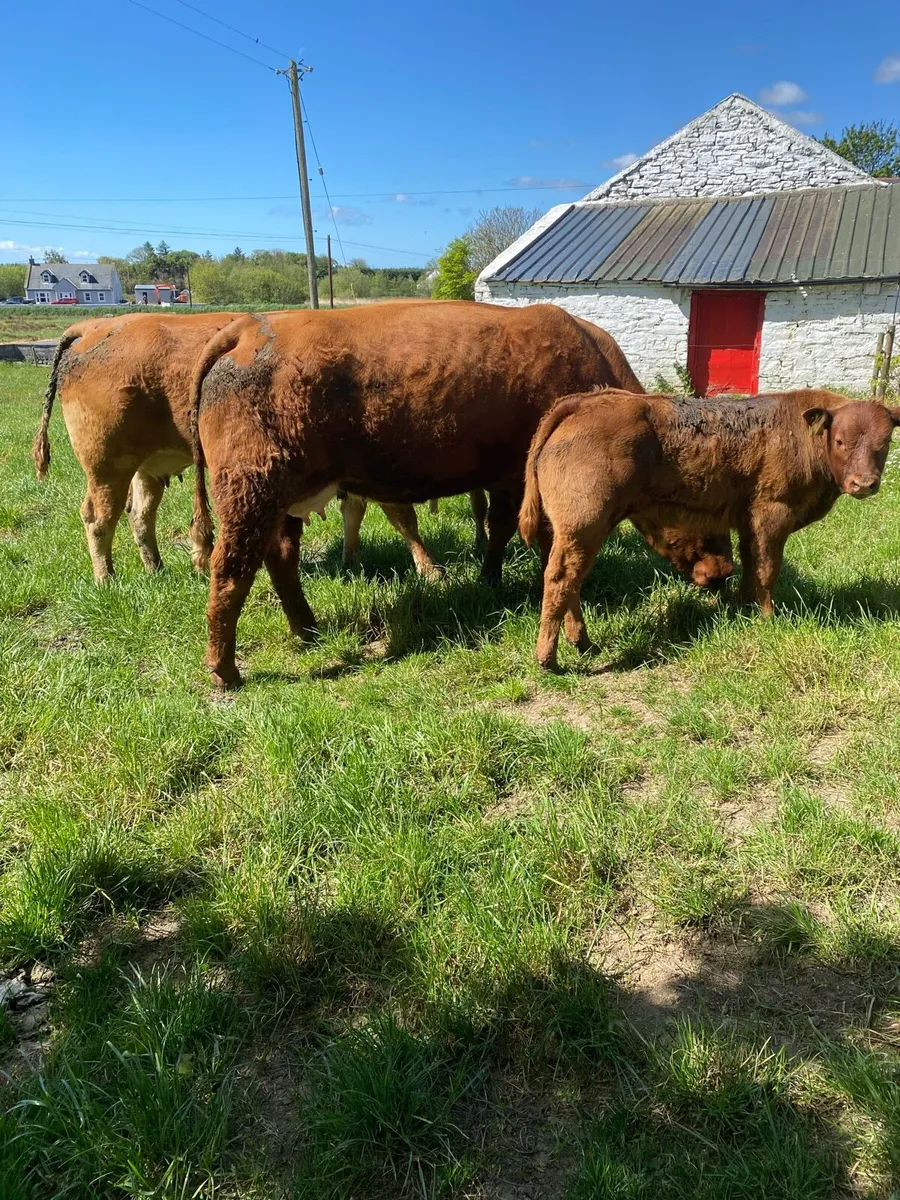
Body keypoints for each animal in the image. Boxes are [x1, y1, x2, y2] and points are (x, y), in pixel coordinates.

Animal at [31, 312, 451, 581]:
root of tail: (95, 326)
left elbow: (356, 510)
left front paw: (353, 560)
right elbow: (402, 517)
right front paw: (431, 571)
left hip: (146, 466)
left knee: (140, 515)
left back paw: (156, 570)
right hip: (106, 463)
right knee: (98, 519)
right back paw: (107, 580)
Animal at [188, 301, 733, 687]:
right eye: (709, 514)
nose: (725, 573)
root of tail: (251, 328)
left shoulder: (508, 481)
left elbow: (501, 531)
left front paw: (490, 578)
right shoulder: (526, 484)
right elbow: (528, 543)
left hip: (283, 498)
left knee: (279, 557)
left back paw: (307, 630)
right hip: (251, 491)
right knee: (231, 570)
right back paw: (225, 670)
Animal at [519, 388, 900, 671]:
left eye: (884, 443)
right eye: (840, 441)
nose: (864, 483)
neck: (801, 436)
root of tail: (587, 401)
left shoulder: (748, 523)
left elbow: (751, 564)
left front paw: (744, 607)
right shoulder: (771, 514)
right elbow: (767, 569)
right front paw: (767, 619)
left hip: (573, 530)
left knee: (569, 579)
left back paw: (582, 643)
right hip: (584, 525)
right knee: (560, 579)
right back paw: (549, 659)